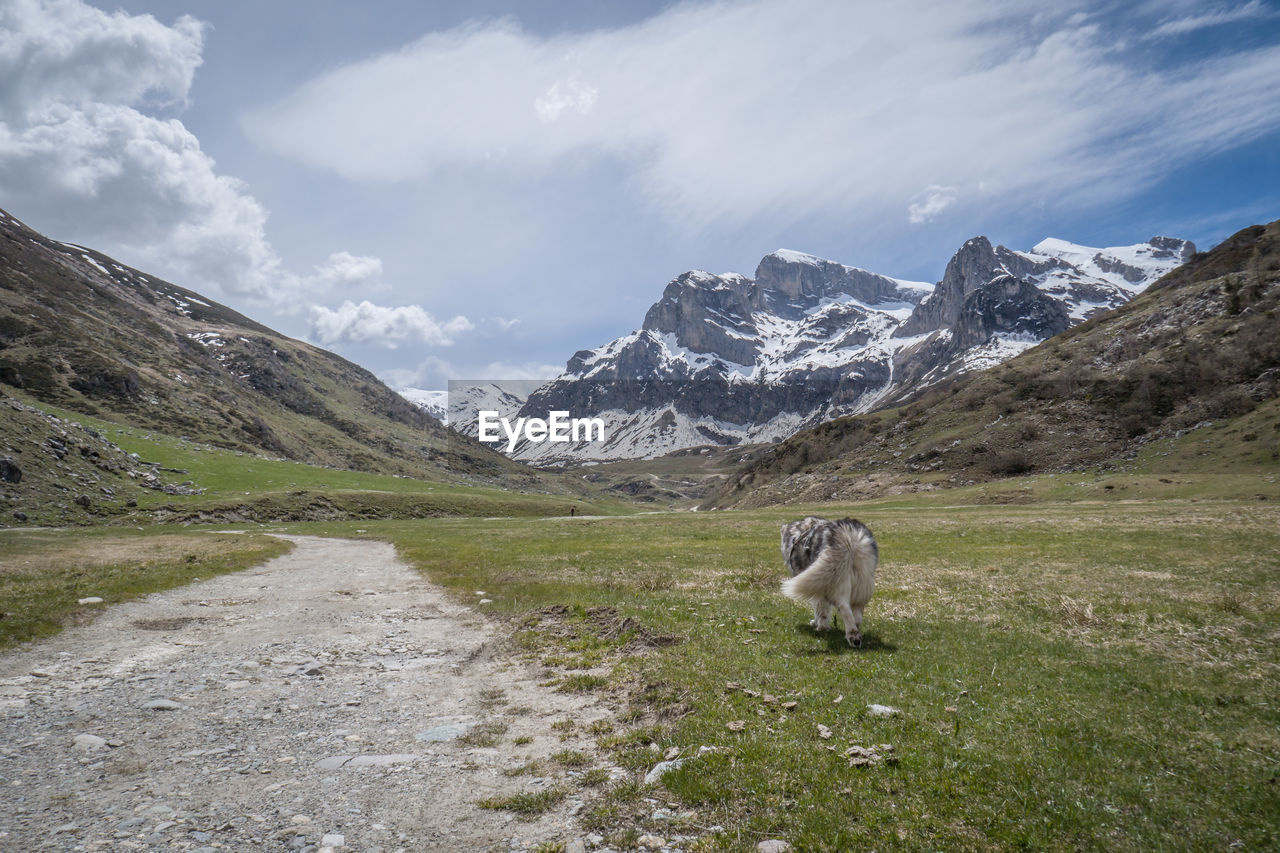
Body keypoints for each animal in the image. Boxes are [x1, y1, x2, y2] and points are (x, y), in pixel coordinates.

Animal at [778, 514, 880, 648]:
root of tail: (847, 536)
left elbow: (820, 608)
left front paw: (820, 625)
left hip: (837, 581)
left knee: (845, 608)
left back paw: (852, 636)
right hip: (862, 580)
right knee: (857, 612)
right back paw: (856, 632)